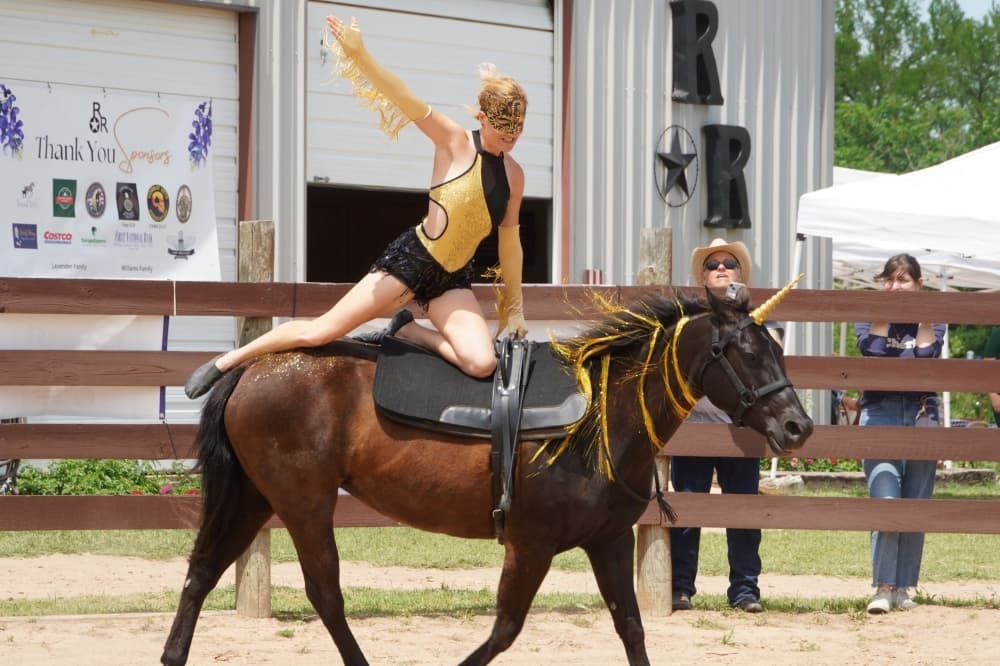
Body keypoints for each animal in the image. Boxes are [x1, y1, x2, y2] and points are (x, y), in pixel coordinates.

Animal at [161, 282, 812, 666]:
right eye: (744, 353)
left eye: (777, 349)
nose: (798, 426)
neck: (600, 416)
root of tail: (249, 370)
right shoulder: (531, 545)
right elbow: (505, 630)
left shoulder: (607, 541)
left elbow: (630, 626)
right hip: (303, 505)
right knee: (324, 592)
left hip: (253, 499)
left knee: (201, 572)